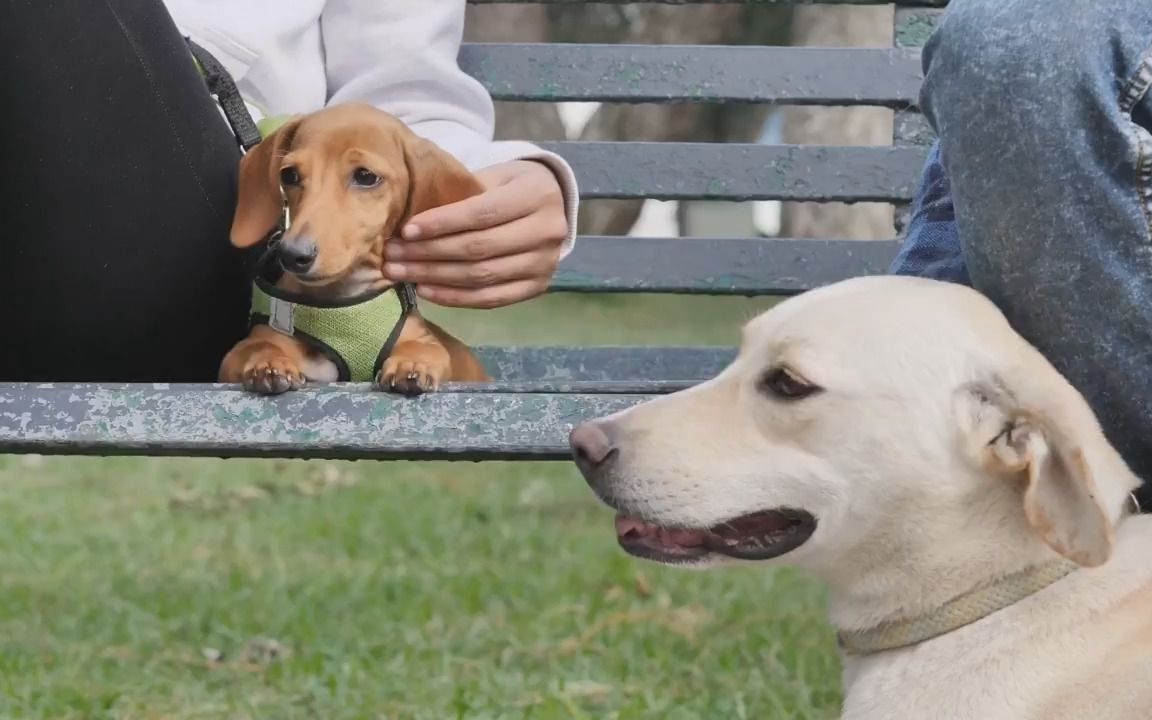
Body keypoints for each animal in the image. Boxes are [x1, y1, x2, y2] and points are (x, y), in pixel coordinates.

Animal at [220, 101, 490, 393]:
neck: (345, 300)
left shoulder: (421, 338)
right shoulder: (256, 341)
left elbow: (425, 349)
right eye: (289, 174)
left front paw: (412, 363)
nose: (291, 255)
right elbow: (256, 346)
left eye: (365, 176)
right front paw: (266, 362)